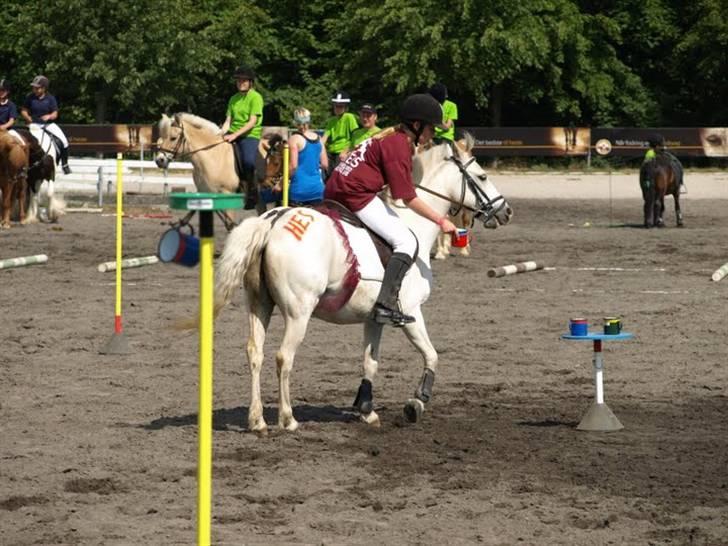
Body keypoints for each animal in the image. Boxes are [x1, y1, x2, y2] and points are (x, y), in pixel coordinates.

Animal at [154, 113, 286, 220]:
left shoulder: (228, 196)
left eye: (173, 138)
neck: (212, 156)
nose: (159, 160)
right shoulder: (205, 194)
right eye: (161, 137)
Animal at [191, 135, 513, 433]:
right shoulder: (411, 312)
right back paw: (288, 418)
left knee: (255, 353)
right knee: (284, 357)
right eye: (482, 177)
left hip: (260, 304)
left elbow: (370, 362)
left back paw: (257, 420)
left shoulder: (374, 317)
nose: (506, 211)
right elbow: (431, 355)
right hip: (298, 312)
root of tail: (271, 222)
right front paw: (417, 402)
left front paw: (366, 410)